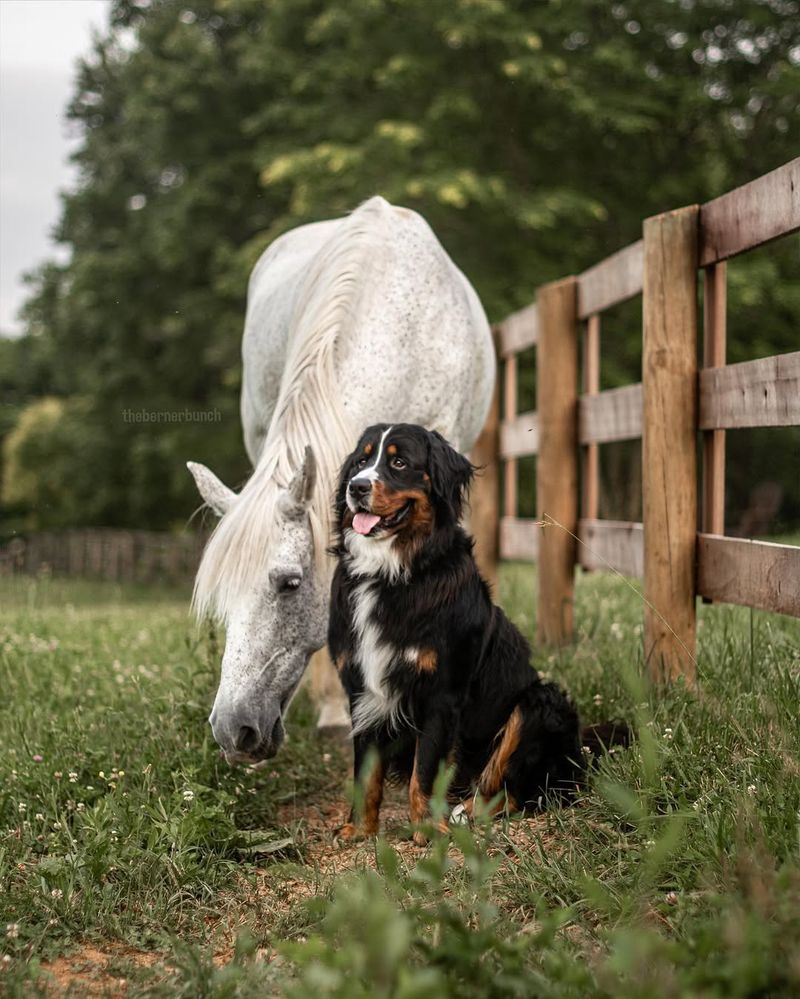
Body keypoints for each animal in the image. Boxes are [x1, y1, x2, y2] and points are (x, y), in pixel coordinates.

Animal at [328, 422, 620, 844]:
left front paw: (427, 828)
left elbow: (424, 771)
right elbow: (366, 774)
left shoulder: (441, 694)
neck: (391, 573)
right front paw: (359, 830)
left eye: (399, 462)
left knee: (522, 791)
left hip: (540, 703)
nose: (357, 487)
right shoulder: (362, 689)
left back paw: (465, 812)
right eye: (361, 461)